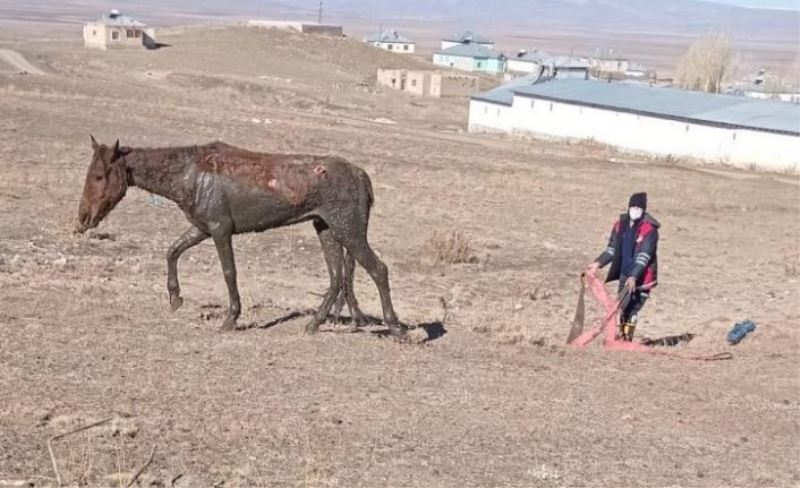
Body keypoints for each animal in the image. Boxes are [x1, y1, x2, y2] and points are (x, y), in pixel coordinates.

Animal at [75, 135, 404, 338]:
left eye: (99, 176)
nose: (82, 219)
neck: (188, 172)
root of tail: (362, 176)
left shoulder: (220, 229)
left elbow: (229, 273)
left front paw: (231, 318)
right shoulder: (201, 227)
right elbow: (172, 251)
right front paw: (175, 298)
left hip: (350, 231)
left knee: (378, 270)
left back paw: (396, 328)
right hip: (326, 228)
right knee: (337, 277)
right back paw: (313, 324)